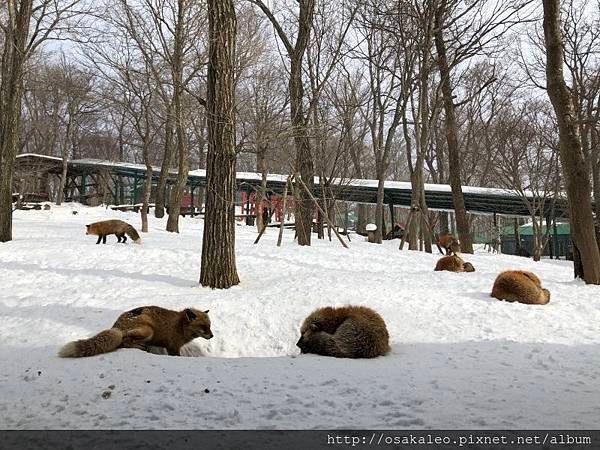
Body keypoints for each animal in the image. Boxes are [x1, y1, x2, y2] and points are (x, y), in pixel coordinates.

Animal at [58, 308, 212, 356]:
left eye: (209, 326)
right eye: (203, 327)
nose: (212, 335)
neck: (180, 325)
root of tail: (116, 326)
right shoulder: (173, 348)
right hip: (148, 331)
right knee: (123, 341)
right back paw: (139, 346)